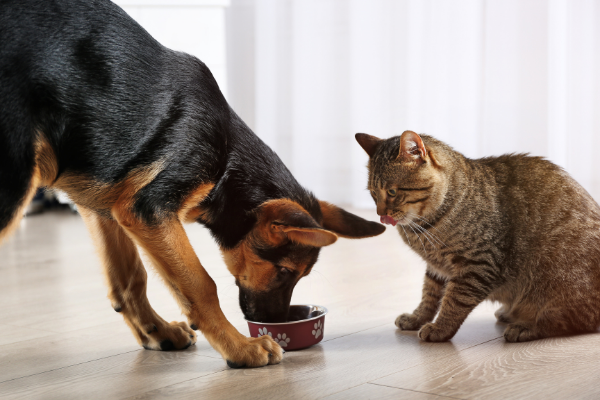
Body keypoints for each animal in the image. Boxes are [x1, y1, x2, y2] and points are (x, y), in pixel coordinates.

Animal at [0, 0, 384, 368]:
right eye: (285, 271)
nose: (277, 323)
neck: (227, 160)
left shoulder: (103, 205)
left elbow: (130, 279)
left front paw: (156, 332)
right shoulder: (148, 210)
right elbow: (201, 285)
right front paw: (240, 348)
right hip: (13, 188)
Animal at [354, 130, 600, 342]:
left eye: (392, 192)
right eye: (373, 194)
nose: (381, 215)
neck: (424, 227)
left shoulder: (478, 264)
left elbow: (454, 300)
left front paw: (440, 328)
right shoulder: (437, 268)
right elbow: (429, 296)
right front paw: (416, 318)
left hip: (553, 278)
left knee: (568, 321)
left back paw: (525, 327)